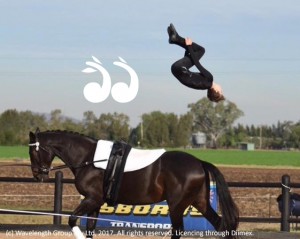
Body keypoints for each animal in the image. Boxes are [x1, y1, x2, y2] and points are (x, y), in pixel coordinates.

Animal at [28, 129, 239, 239]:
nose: (38, 176)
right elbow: (90, 228)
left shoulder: (91, 199)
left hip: (177, 206)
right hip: (199, 202)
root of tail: (199, 162)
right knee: (221, 225)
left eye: (33, 152)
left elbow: (72, 220)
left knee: (179, 230)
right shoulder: (95, 202)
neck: (89, 158)